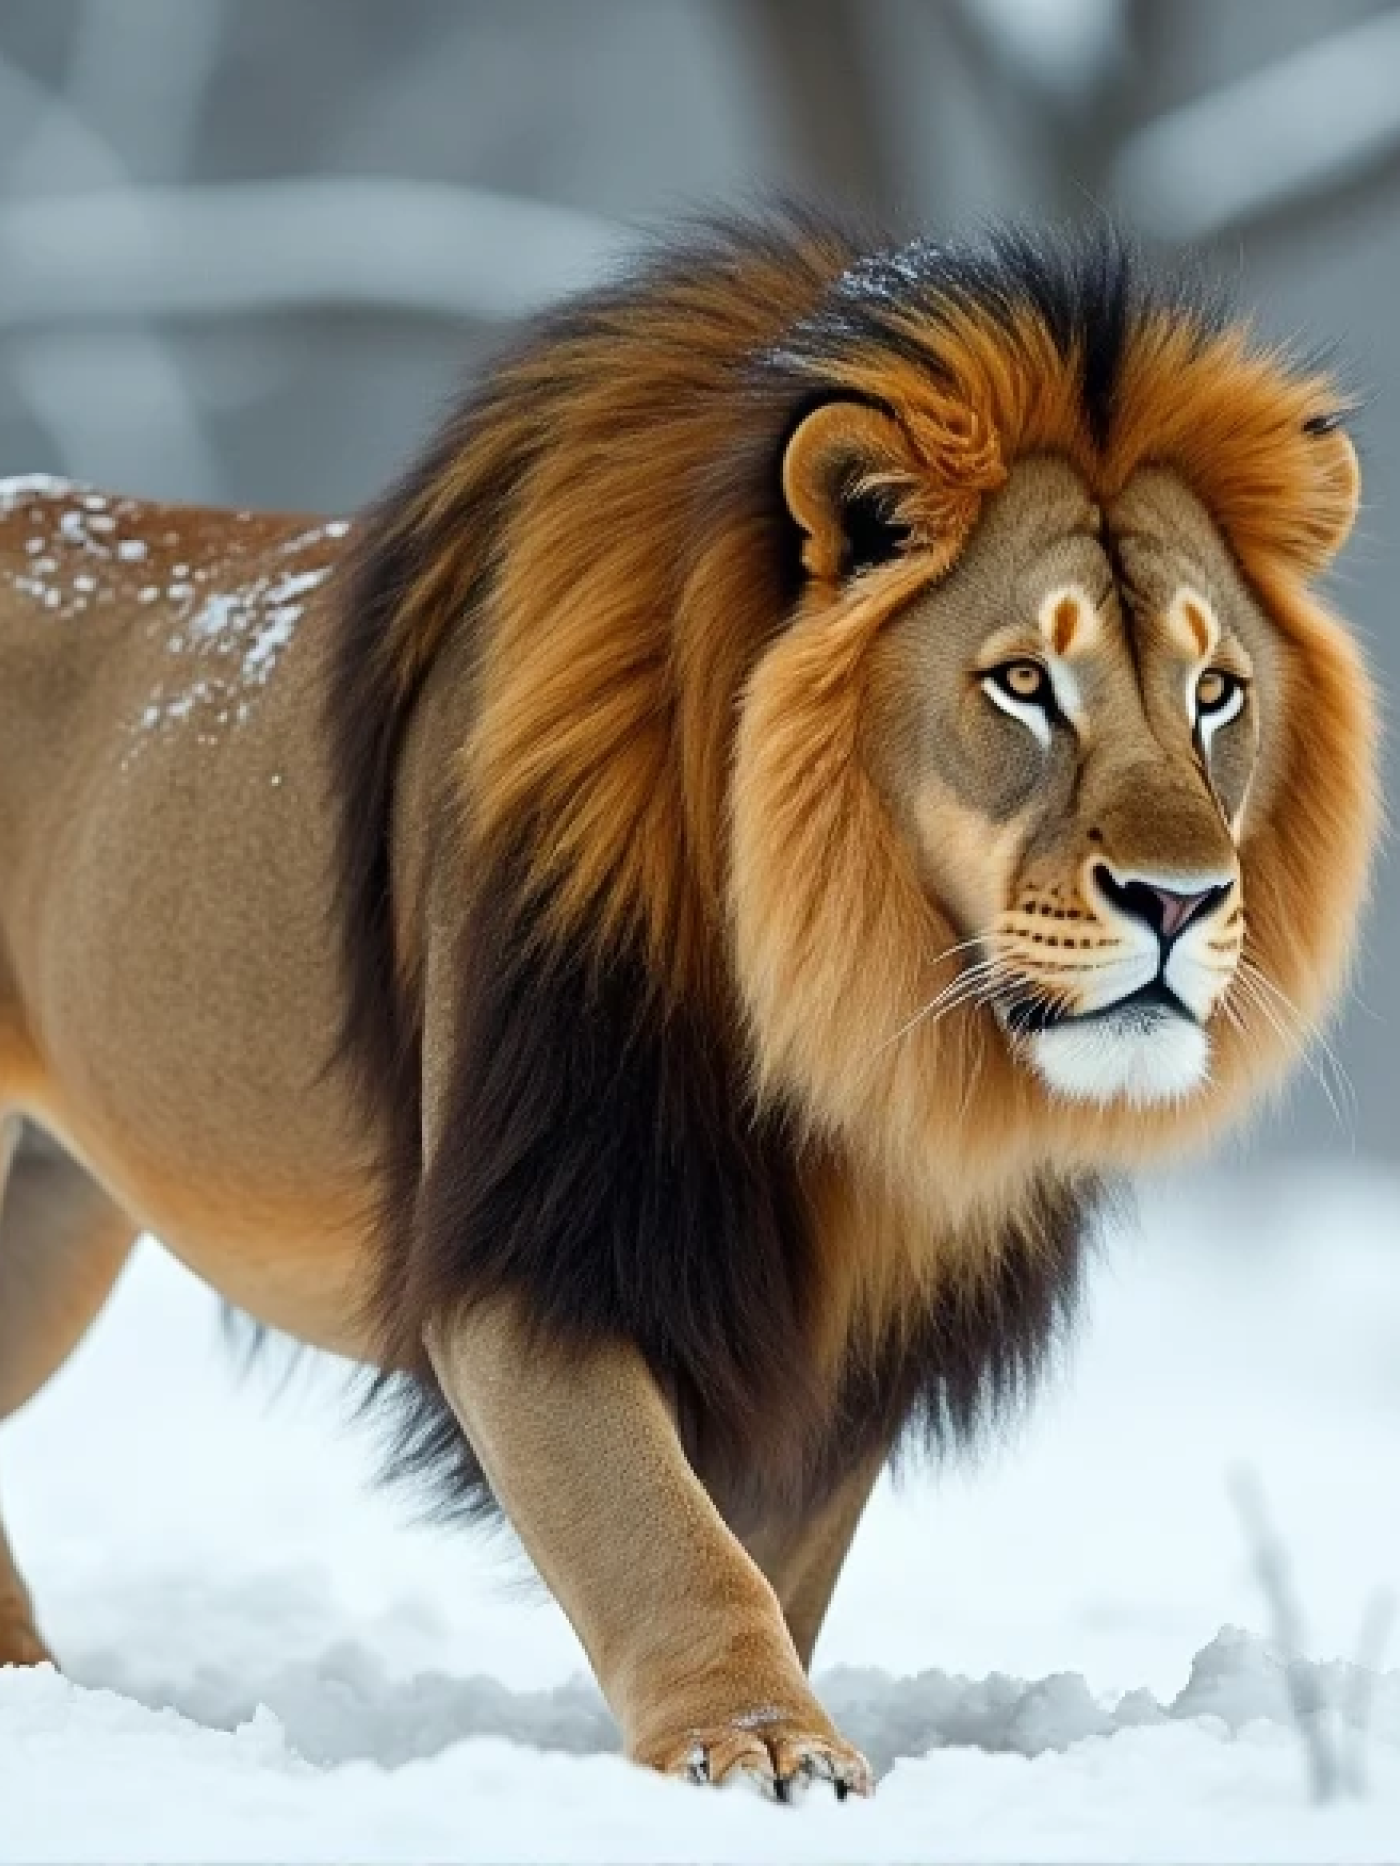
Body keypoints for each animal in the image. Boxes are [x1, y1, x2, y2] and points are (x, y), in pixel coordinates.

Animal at [0, 211, 1378, 1798]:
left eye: (1216, 692)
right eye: (1025, 682)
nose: (1179, 900)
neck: (843, 1015)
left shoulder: (845, 1332)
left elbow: (773, 1559)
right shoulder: (529, 1250)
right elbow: (661, 1535)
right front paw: (759, 1746)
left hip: (51, 1224)